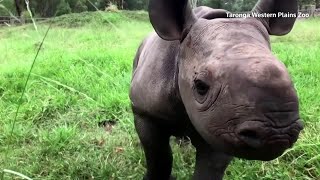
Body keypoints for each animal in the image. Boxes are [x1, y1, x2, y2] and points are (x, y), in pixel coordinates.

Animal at [129, 0, 302, 179]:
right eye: (200, 86)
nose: (276, 135)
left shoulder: (222, 125)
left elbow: (209, 169)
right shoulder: (144, 112)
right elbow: (159, 158)